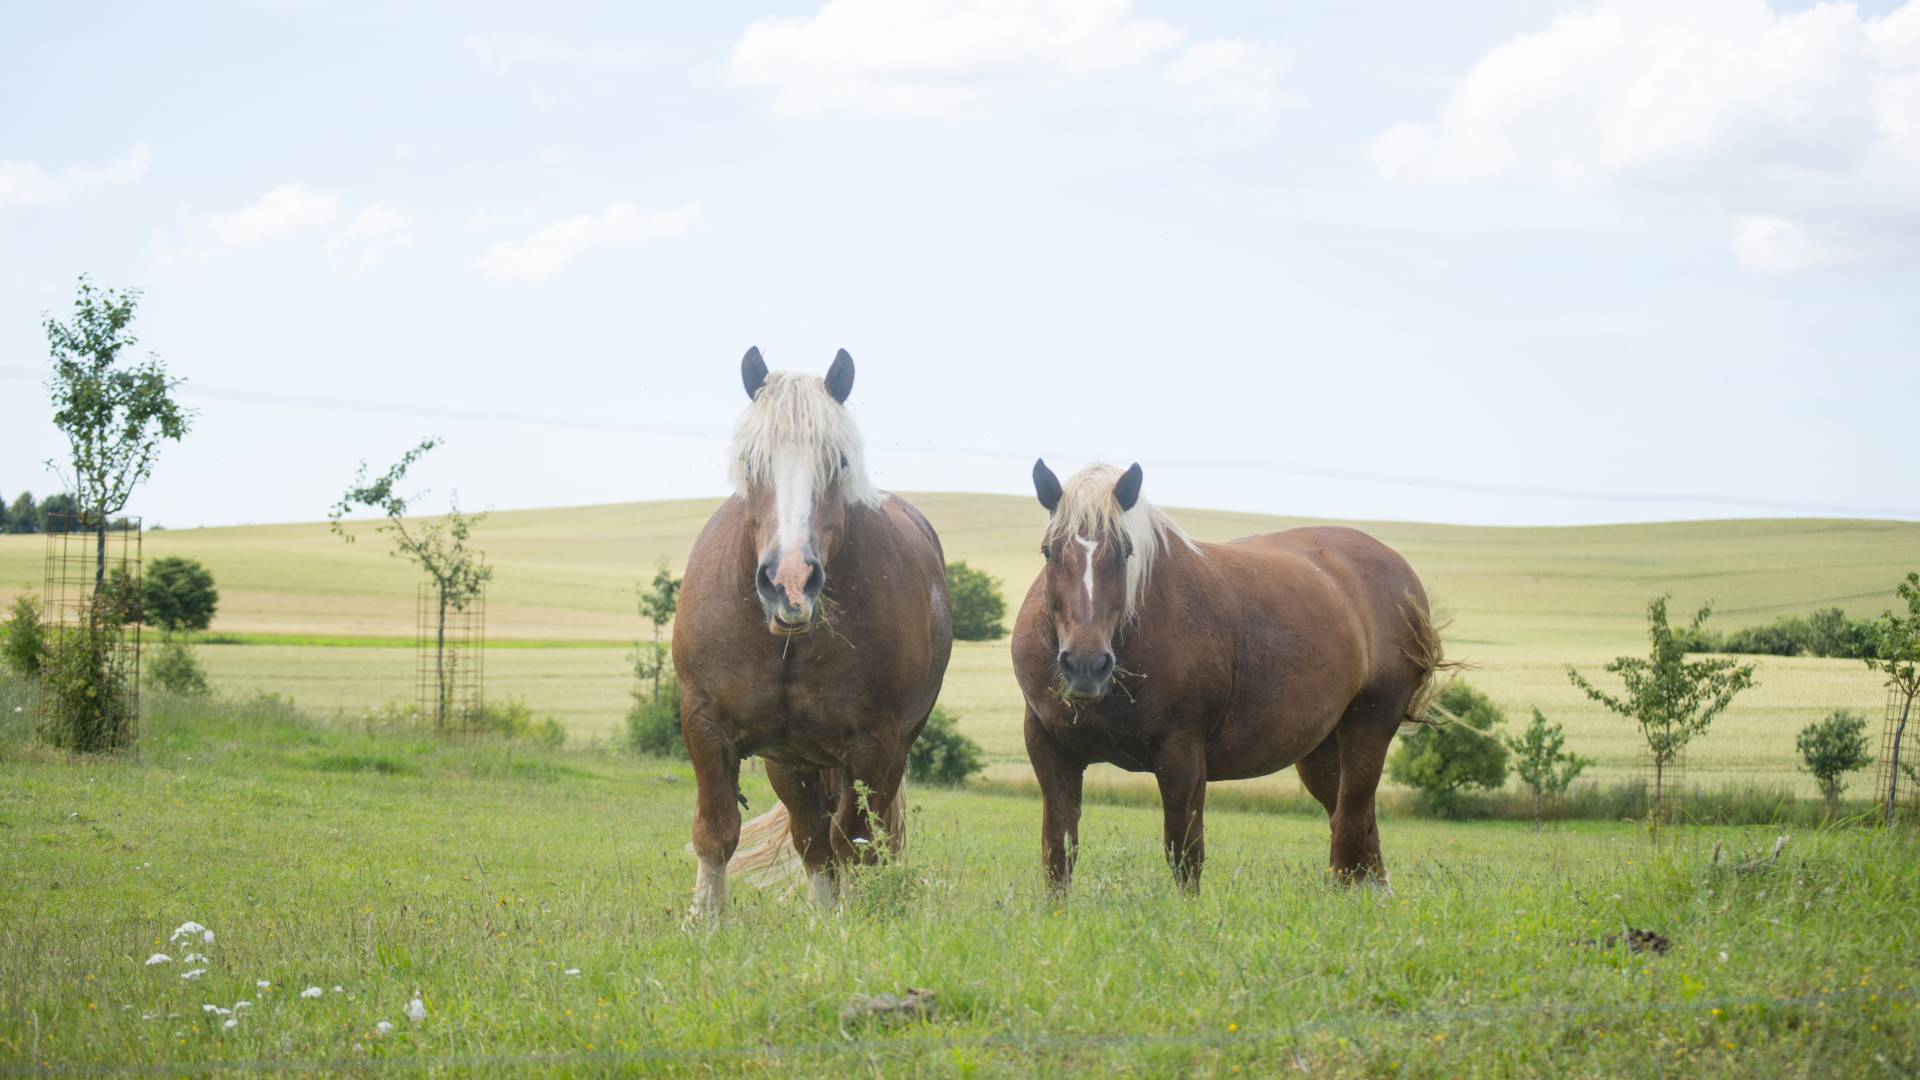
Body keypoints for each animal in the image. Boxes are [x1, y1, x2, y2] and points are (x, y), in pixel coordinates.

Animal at [672, 351, 956, 914]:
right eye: (751, 460)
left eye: (839, 462)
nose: (790, 583)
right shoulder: (705, 724)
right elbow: (716, 832)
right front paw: (704, 920)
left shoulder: (874, 746)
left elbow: (853, 844)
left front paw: (848, 925)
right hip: (792, 763)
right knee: (810, 839)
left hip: (887, 756)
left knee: (854, 841)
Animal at [1013, 457, 1443, 887]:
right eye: (1049, 552)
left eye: (1124, 552)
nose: (1086, 665)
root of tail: (1400, 572)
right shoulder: (1049, 750)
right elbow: (1058, 853)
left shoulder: (1183, 754)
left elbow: (1185, 857)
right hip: (1321, 747)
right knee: (1359, 828)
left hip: (1369, 724)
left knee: (1350, 824)